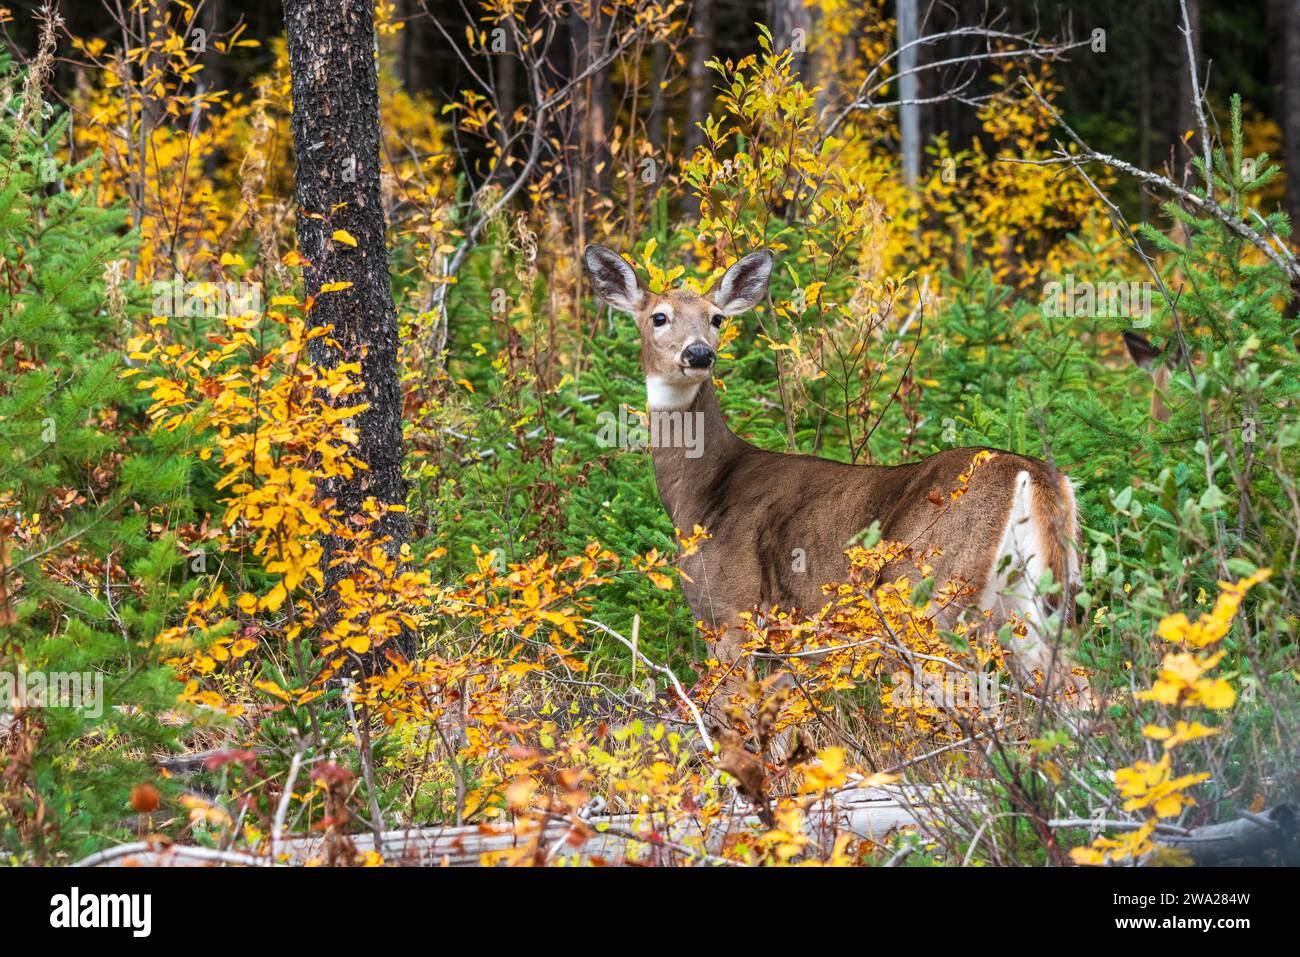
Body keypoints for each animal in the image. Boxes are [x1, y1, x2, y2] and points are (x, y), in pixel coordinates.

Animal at [585, 243, 1092, 722]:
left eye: (717, 318)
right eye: (659, 316)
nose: (698, 353)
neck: (702, 492)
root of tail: (1033, 474)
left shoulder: (729, 607)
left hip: (928, 594)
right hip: (1036, 601)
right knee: (1080, 692)